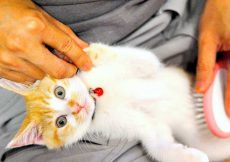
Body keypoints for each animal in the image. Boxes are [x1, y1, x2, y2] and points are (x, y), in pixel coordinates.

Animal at [1, 43, 230, 162]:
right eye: (61, 122)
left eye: (59, 92)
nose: (78, 107)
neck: (99, 99)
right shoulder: (140, 126)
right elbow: (157, 144)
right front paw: (190, 157)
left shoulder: (146, 64)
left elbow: (145, 59)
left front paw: (92, 52)